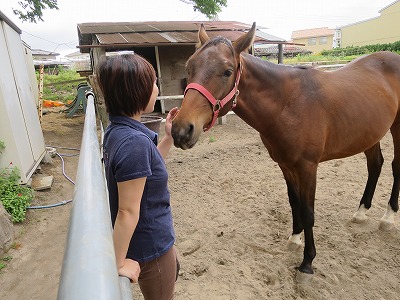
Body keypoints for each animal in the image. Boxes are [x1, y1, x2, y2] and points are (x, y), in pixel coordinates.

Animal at [170, 22, 400, 278]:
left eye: (227, 71)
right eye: (189, 67)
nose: (181, 130)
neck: (288, 103)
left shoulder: (308, 167)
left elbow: (308, 211)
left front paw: (307, 261)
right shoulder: (285, 164)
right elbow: (294, 202)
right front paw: (295, 239)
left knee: (395, 167)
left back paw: (388, 217)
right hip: (370, 134)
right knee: (375, 165)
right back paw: (361, 212)